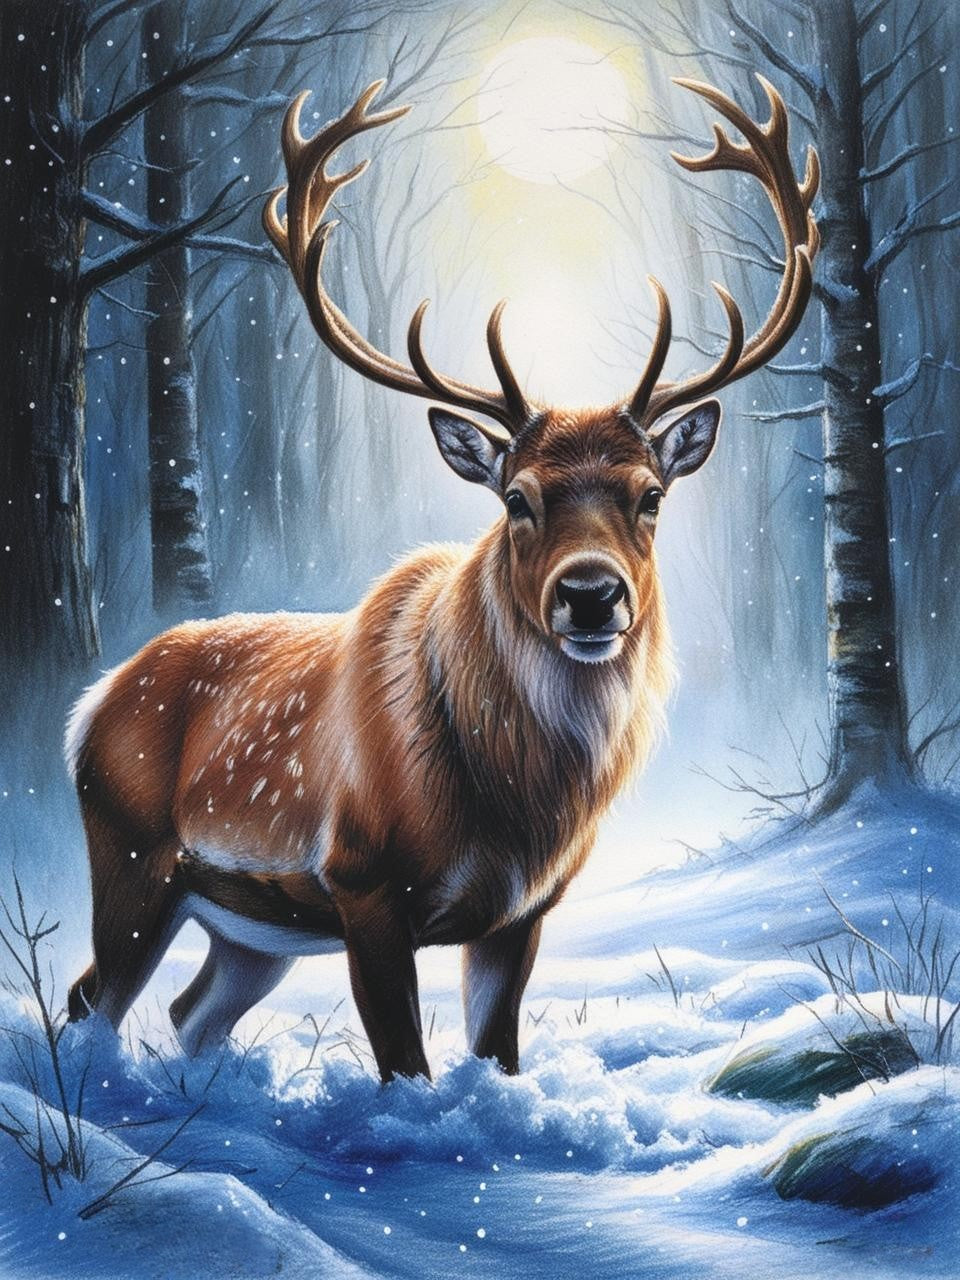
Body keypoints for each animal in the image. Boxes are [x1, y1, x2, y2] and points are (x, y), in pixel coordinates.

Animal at [65, 74, 818, 1083]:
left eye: (651, 494)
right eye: (518, 497)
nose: (591, 594)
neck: (514, 804)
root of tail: (91, 703)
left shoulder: (521, 910)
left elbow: (496, 1051)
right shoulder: (361, 879)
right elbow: (405, 1062)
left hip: (249, 925)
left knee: (189, 1011)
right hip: (134, 857)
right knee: (92, 1002)